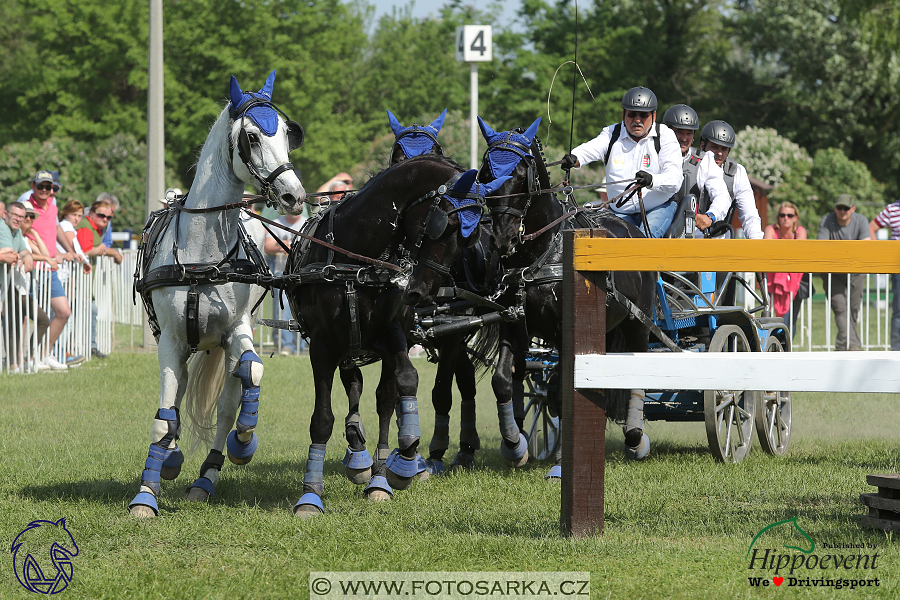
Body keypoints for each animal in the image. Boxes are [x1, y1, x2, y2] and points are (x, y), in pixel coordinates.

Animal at [284, 155, 496, 516]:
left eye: (471, 233)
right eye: (445, 225)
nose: (421, 291)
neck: (355, 259)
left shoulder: (392, 334)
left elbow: (403, 384)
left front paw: (403, 459)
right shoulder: (322, 345)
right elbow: (323, 418)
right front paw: (310, 495)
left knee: (391, 396)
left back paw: (385, 473)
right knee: (355, 385)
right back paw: (359, 455)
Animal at [474, 118, 656, 474]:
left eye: (520, 174)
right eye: (486, 174)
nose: (503, 238)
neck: (541, 250)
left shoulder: (563, 331)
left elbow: (560, 390)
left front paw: (561, 463)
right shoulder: (512, 323)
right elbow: (504, 380)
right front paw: (515, 446)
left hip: (638, 320)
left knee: (637, 367)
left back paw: (635, 437)